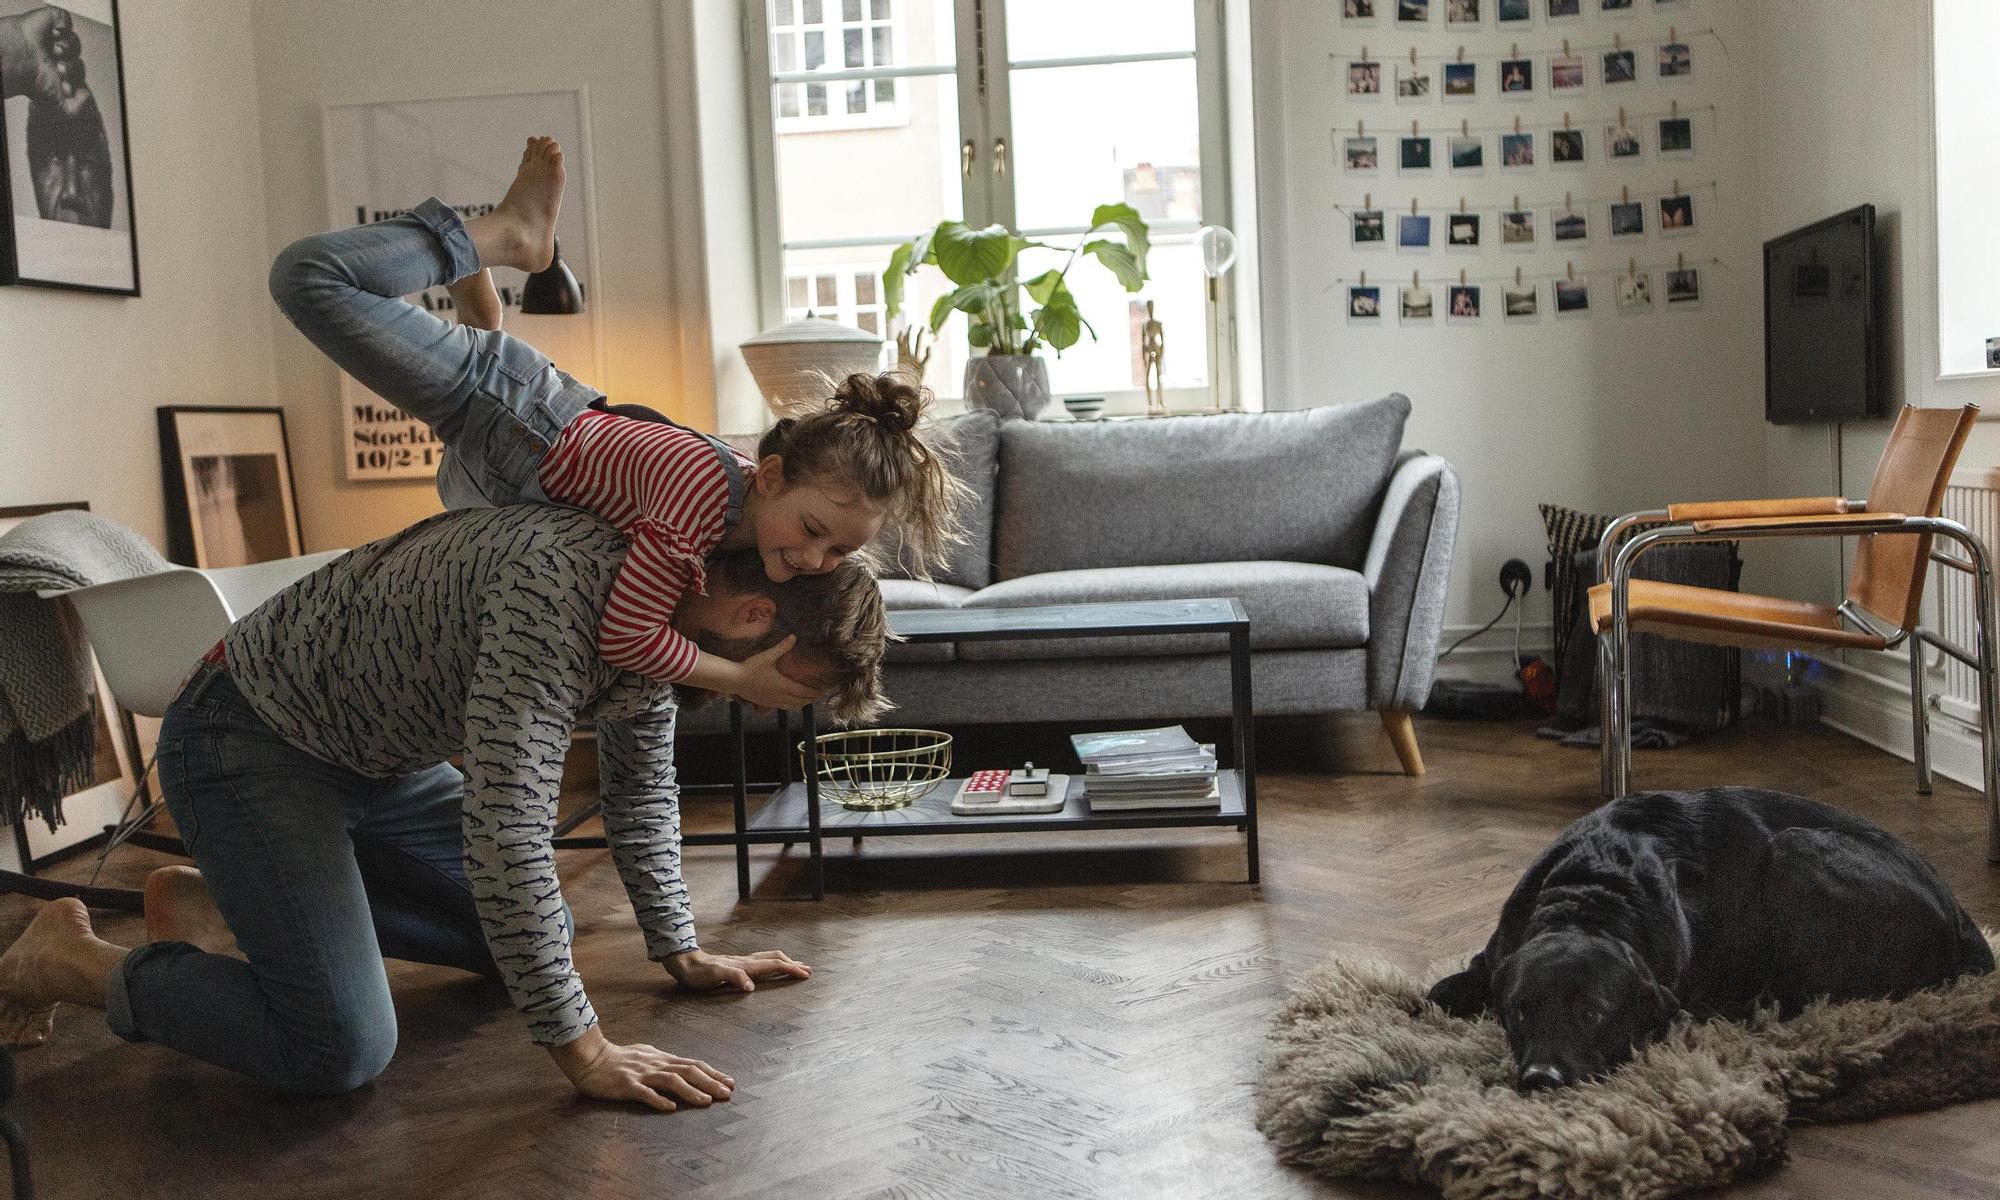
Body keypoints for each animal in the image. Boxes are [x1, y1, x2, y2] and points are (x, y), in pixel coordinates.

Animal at [1432, 788, 1992, 1096]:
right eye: (1520, 1011)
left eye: (1593, 1012)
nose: (1541, 1078)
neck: (1590, 897)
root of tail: (1962, 917)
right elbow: (1435, 994)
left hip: (1793, 850)